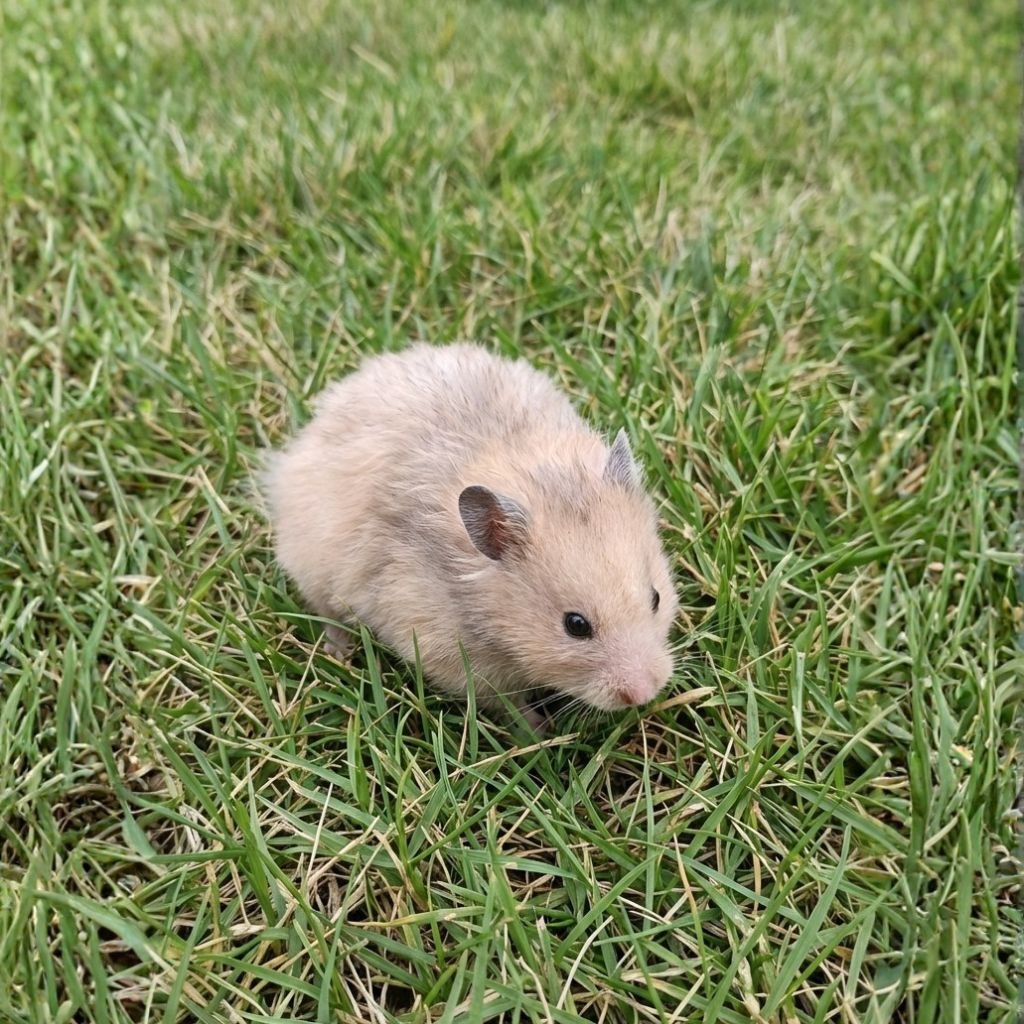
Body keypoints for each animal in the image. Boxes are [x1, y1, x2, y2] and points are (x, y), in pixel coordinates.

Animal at [263, 342, 678, 726]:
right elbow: (508, 705)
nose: (644, 693)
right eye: (575, 626)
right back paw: (340, 652)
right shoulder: (451, 656)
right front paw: (541, 734)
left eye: (656, 598)